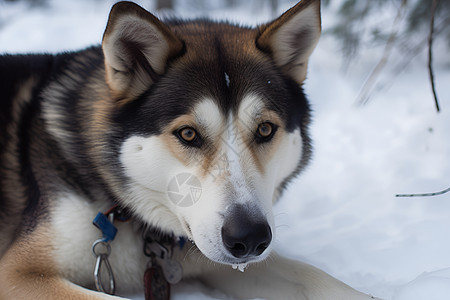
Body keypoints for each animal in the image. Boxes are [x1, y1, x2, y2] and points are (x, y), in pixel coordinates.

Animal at [0, 0, 380, 300]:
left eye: (265, 129)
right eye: (188, 134)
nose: (249, 238)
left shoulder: (215, 257)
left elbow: (313, 275)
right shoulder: (19, 273)